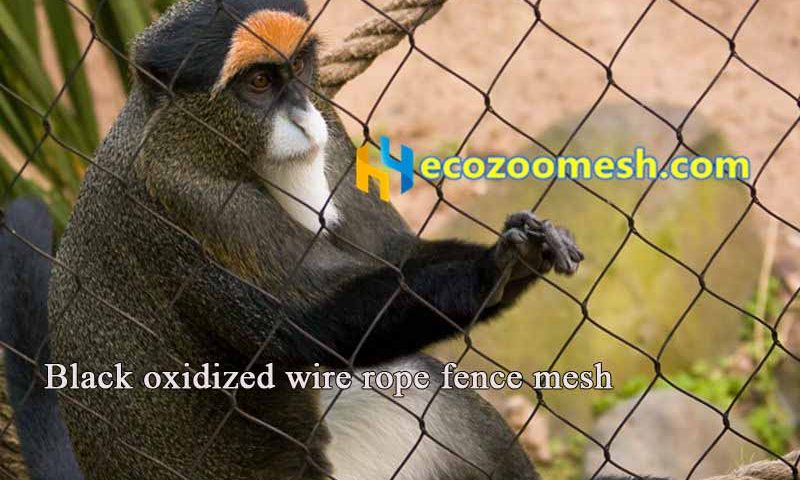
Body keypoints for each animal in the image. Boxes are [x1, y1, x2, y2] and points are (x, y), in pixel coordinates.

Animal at [3, 0, 587, 479]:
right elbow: (311, 320)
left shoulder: (334, 134)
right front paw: (495, 269)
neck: (188, 137)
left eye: (299, 68)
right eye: (259, 83)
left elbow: (390, 255)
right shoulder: (193, 201)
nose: (305, 119)